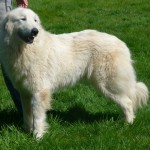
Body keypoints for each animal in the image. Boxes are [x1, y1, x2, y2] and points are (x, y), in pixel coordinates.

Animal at [0, 8, 148, 139]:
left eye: (35, 20)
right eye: (22, 19)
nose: (35, 31)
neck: (23, 50)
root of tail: (121, 43)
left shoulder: (39, 92)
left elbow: (38, 117)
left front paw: (38, 137)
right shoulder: (24, 92)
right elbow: (27, 114)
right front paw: (27, 131)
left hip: (107, 85)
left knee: (128, 103)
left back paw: (127, 125)